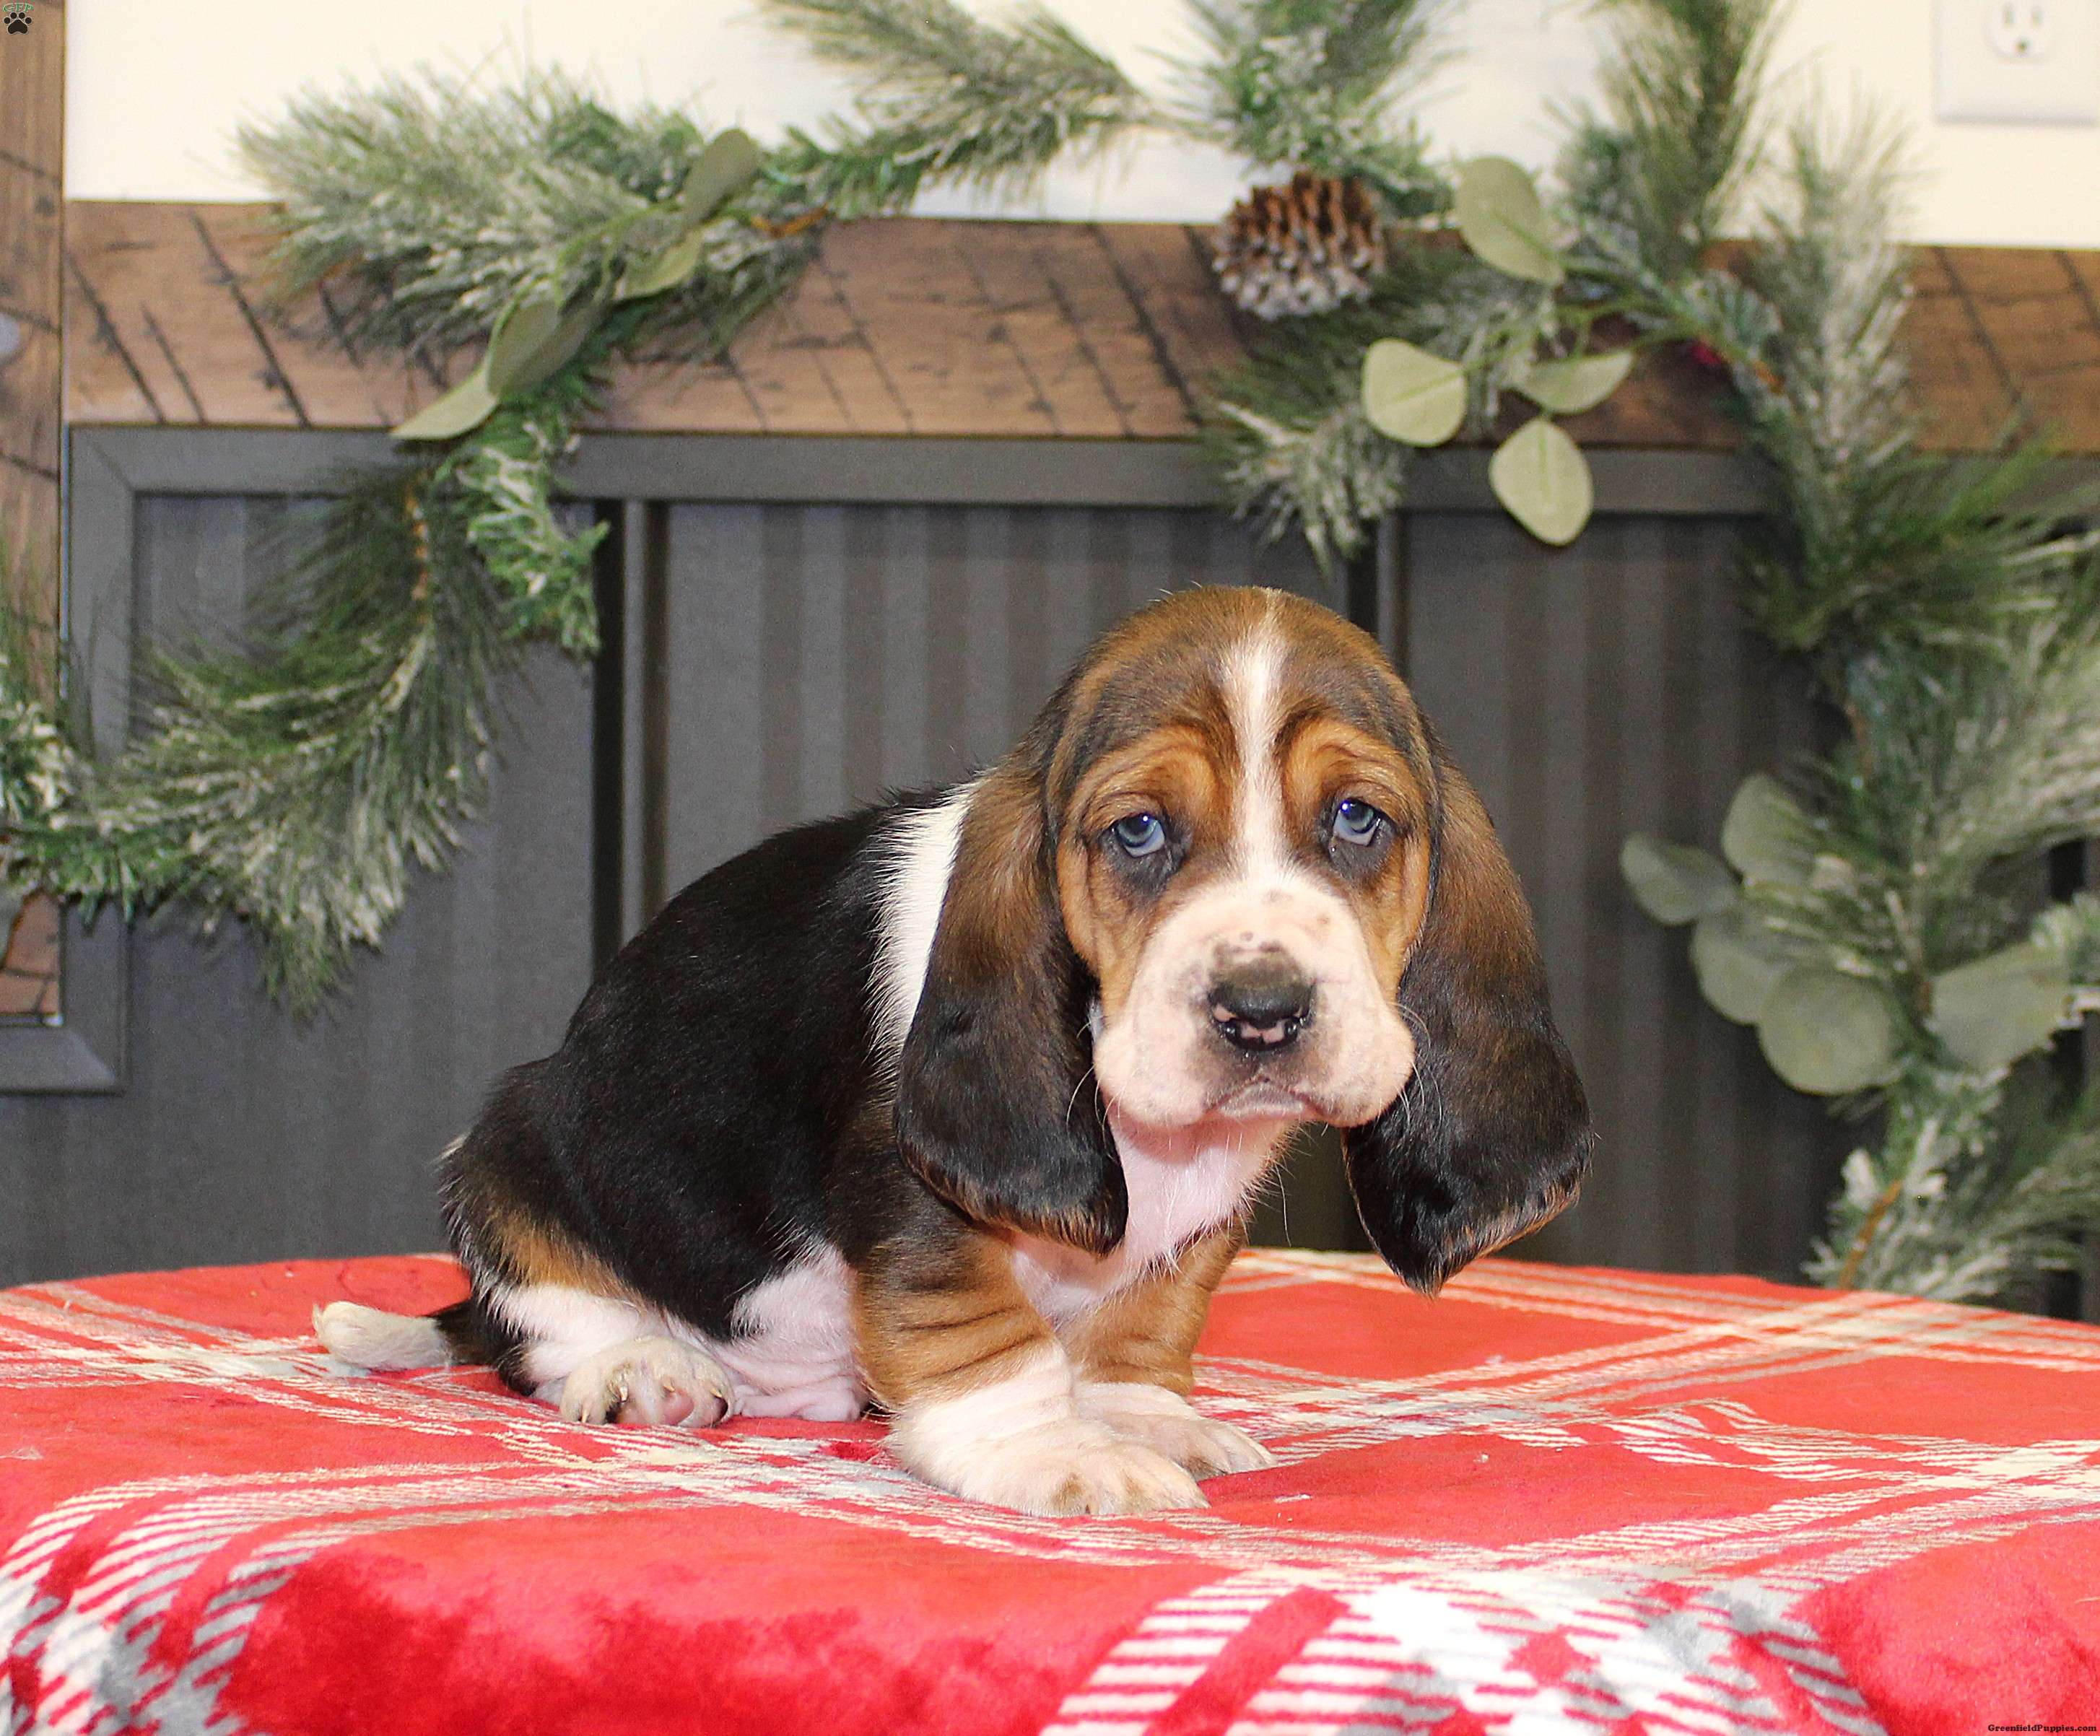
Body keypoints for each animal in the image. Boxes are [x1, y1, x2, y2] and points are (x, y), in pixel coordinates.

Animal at [317, 585, 1590, 1515]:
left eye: (1357, 820)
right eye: (1138, 830)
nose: (1262, 1009)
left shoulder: (1195, 1229)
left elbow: (1146, 1317)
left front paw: (1137, 1413)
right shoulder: (917, 1198)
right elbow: (983, 1332)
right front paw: (1055, 1452)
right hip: (511, 1136)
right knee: (531, 1324)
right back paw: (641, 1369)